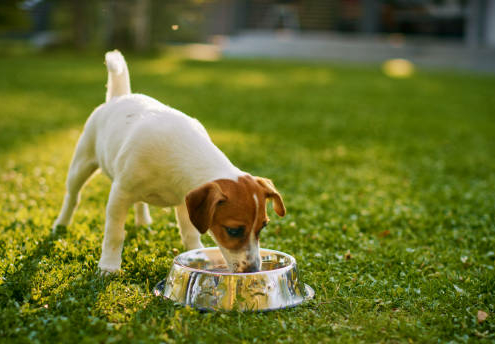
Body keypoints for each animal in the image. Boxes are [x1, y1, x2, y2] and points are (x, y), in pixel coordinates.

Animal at [51, 50, 284, 274]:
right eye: (233, 230)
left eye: (263, 227)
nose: (253, 270)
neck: (183, 152)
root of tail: (119, 97)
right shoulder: (119, 194)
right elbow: (115, 234)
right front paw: (108, 267)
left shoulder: (184, 202)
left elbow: (190, 234)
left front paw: (196, 255)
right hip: (82, 164)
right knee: (73, 196)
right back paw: (60, 224)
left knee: (139, 202)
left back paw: (143, 222)